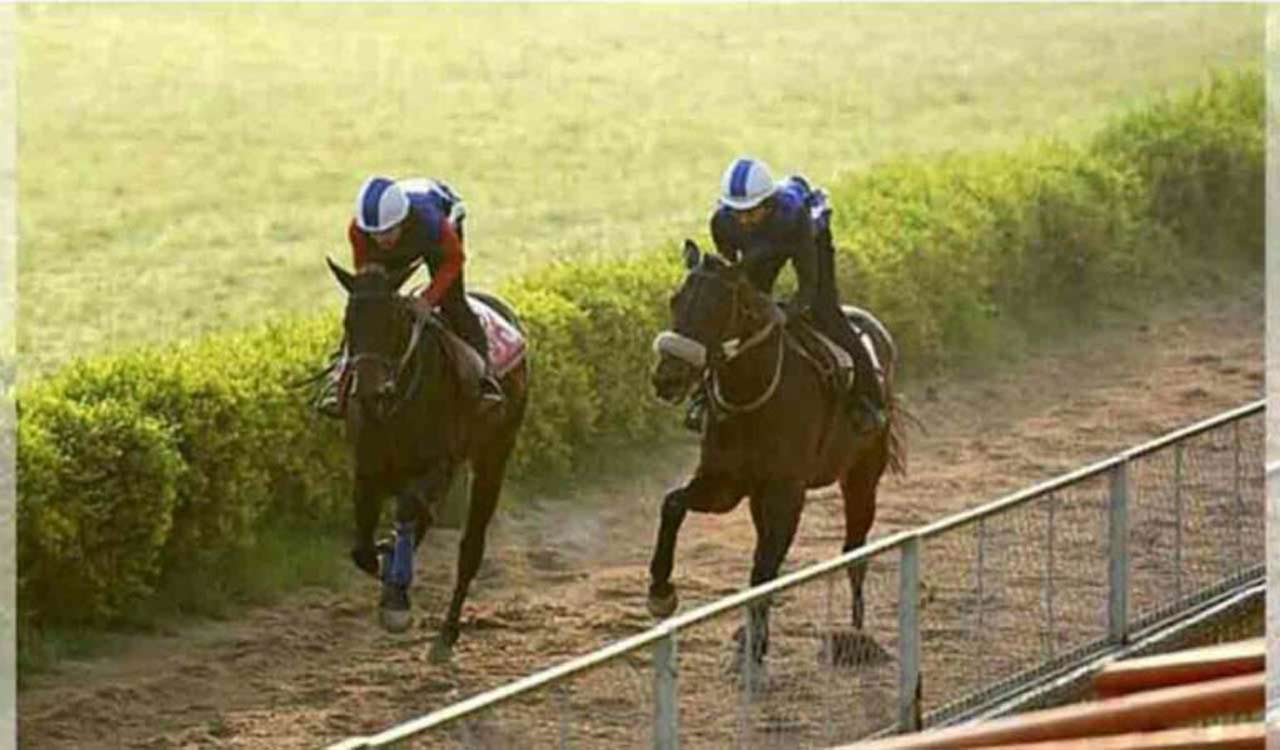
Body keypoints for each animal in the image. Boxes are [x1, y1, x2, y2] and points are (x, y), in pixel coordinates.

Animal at [326, 257, 529, 662]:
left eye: (392, 321)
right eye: (348, 321)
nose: (369, 390)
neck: (393, 408)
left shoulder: (437, 465)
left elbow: (407, 512)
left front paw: (396, 600)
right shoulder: (368, 469)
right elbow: (362, 547)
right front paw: (387, 568)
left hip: (494, 453)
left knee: (470, 547)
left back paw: (447, 631)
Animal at [647, 239, 905, 666]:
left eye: (718, 306)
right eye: (675, 299)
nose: (667, 377)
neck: (752, 393)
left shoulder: (787, 492)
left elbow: (763, 570)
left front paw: (756, 645)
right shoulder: (725, 483)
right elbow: (672, 504)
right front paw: (660, 591)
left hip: (862, 476)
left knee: (855, 551)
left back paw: (855, 635)